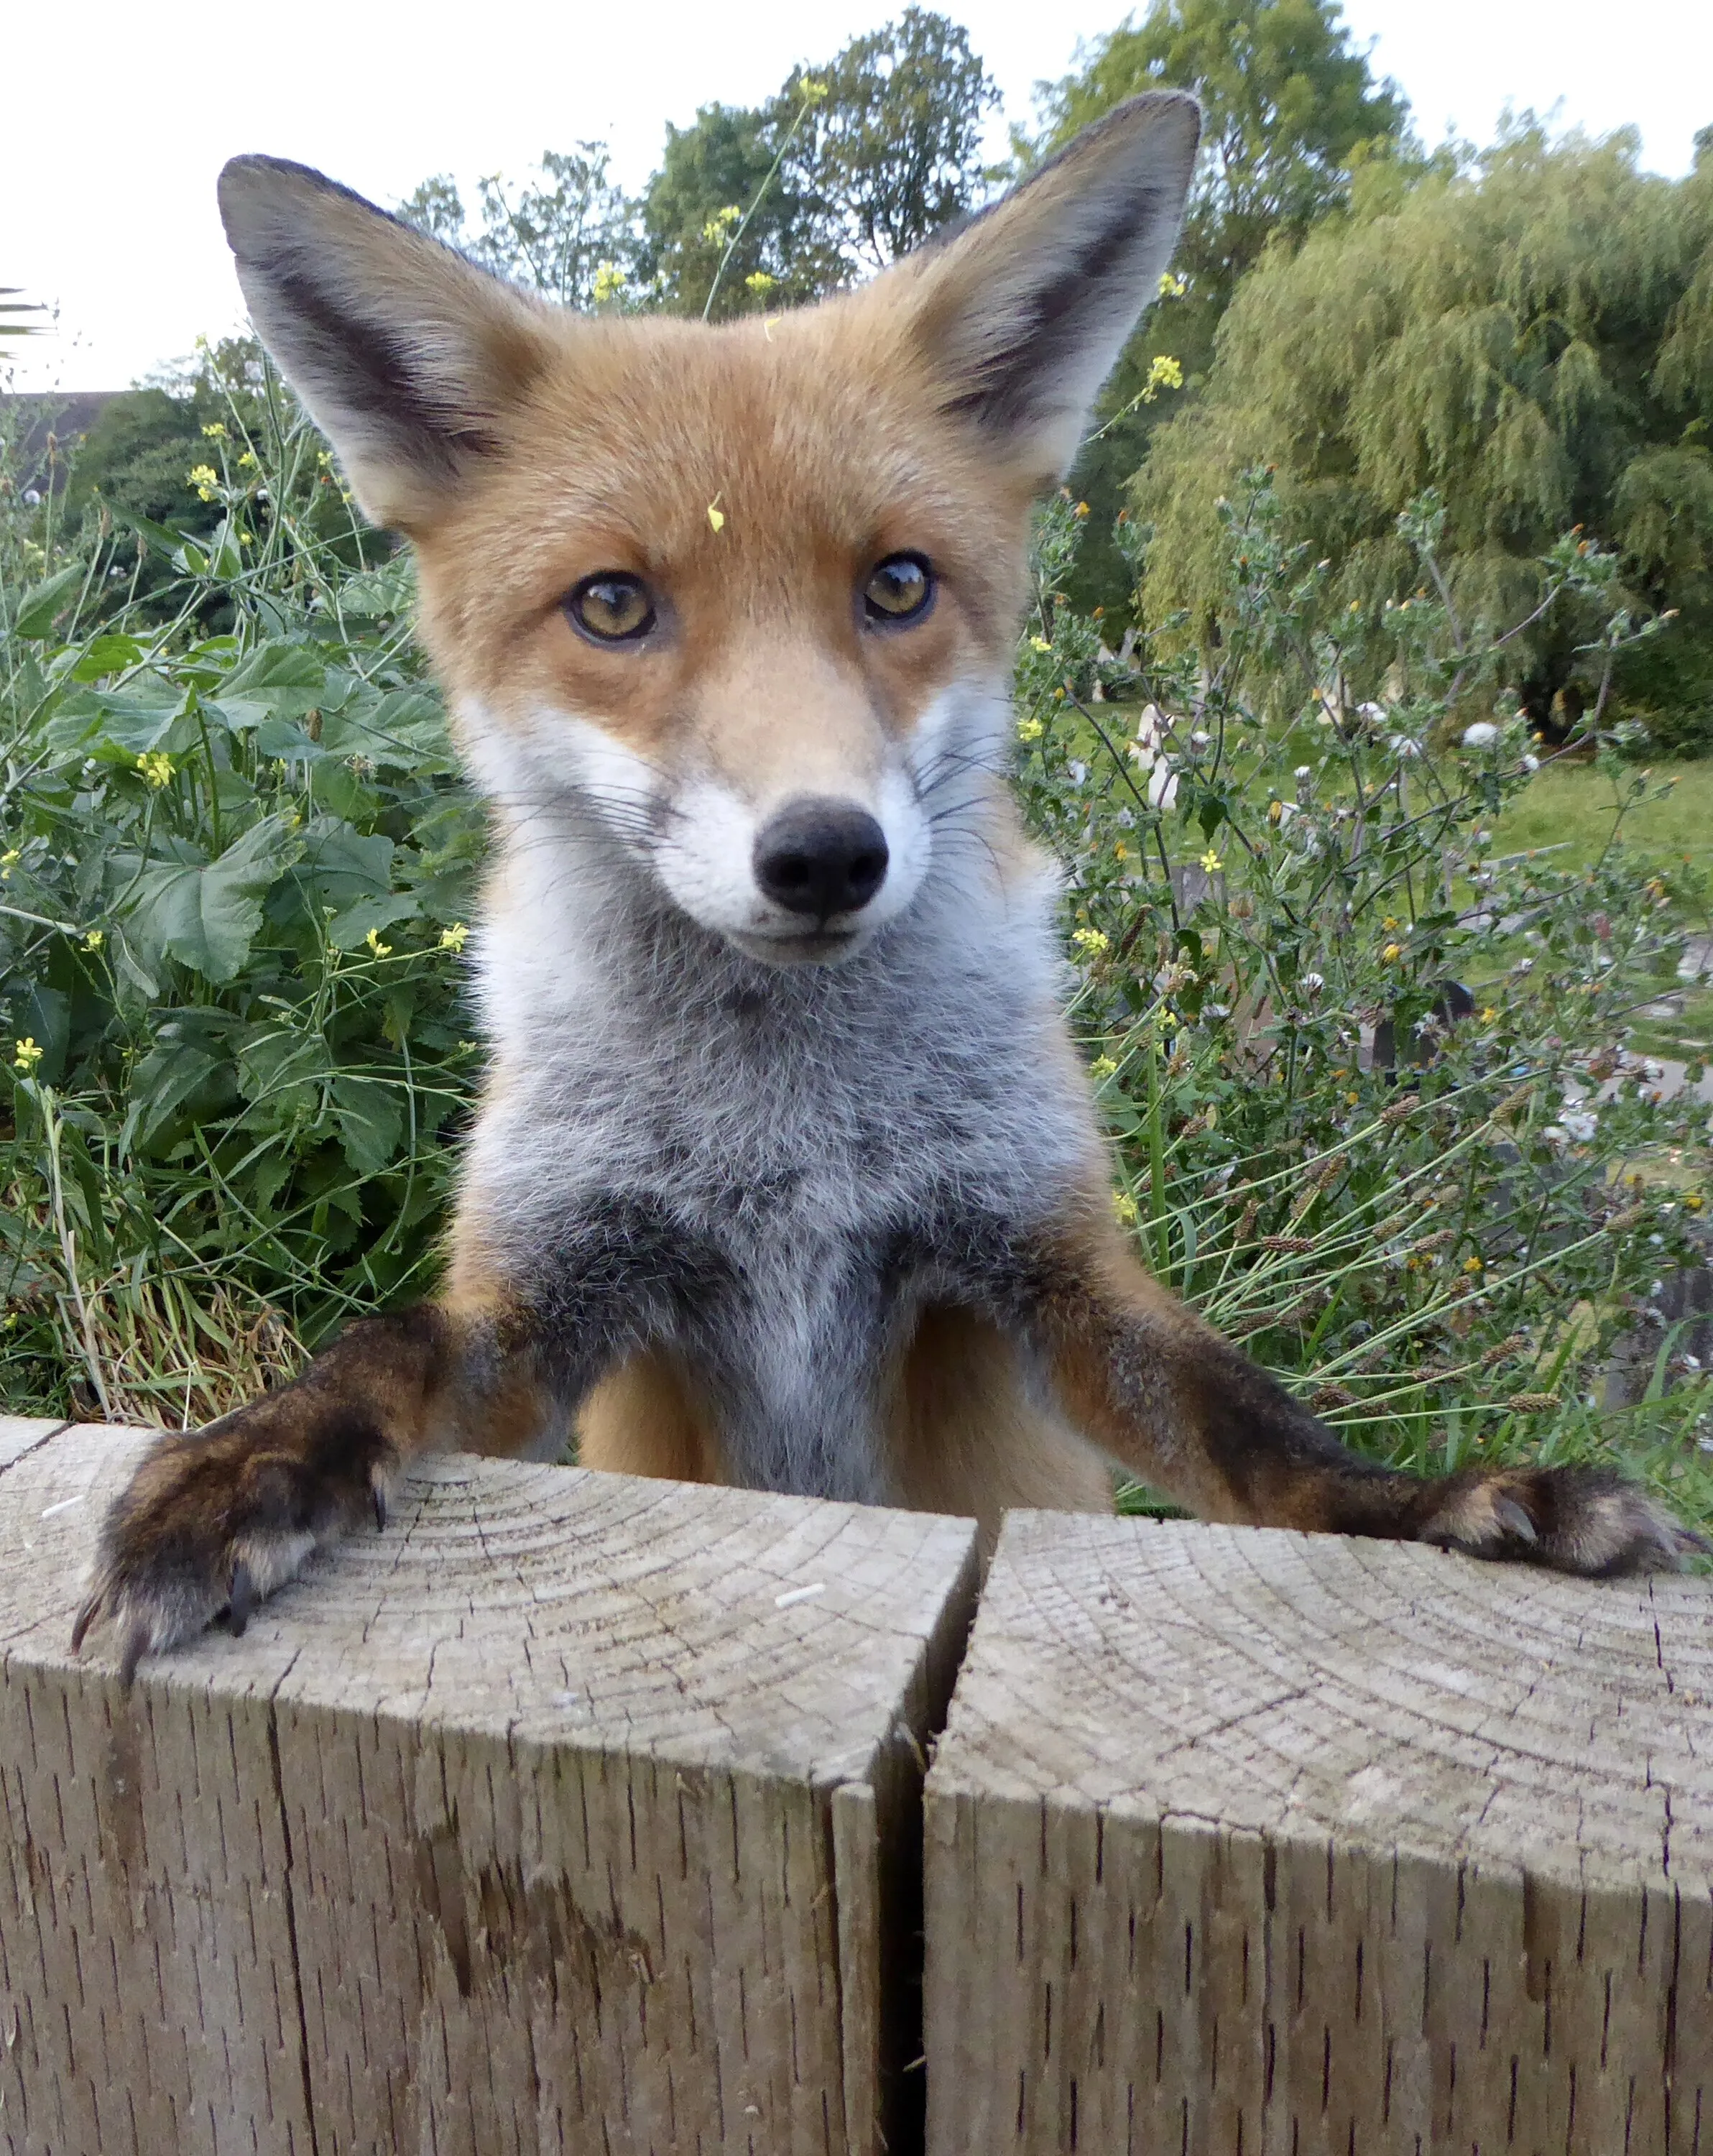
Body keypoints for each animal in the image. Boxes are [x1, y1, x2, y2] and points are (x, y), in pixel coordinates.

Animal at [73, 91, 1703, 1684]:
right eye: (612, 605)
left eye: (898, 585)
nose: (823, 851)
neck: (784, 1127)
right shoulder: (545, 1305)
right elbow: (380, 1350)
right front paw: (238, 1470)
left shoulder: (1044, 1266)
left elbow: (1257, 1427)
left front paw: (1435, 1506)